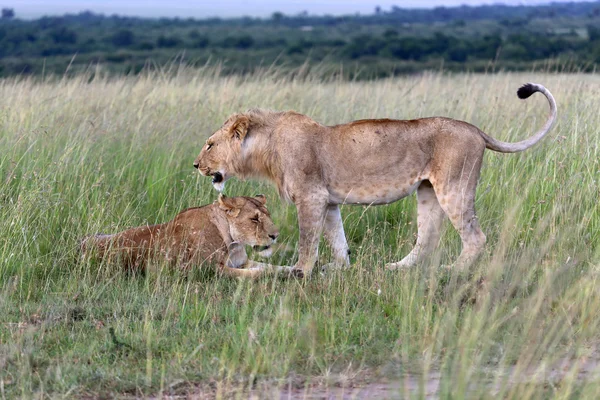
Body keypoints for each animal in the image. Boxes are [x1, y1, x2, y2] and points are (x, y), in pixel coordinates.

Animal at [80, 195, 292, 278]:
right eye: (254, 219)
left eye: (267, 215)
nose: (275, 235)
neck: (234, 243)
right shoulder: (205, 269)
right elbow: (254, 273)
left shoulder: (241, 262)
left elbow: (272, 266)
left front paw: (293, 271)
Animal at [192, 83, 556, 276]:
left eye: (210, 144)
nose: (196, 165)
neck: (266, 150)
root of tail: (476, 130)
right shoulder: (328, 201)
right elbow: (337, 240)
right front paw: (339, 269)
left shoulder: (310, 197)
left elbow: (307, 241)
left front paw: (299, 272)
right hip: (428, 192)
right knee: (426, 239)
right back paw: (398, 268)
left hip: (454, 187)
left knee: (476, 238)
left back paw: (453, 271)